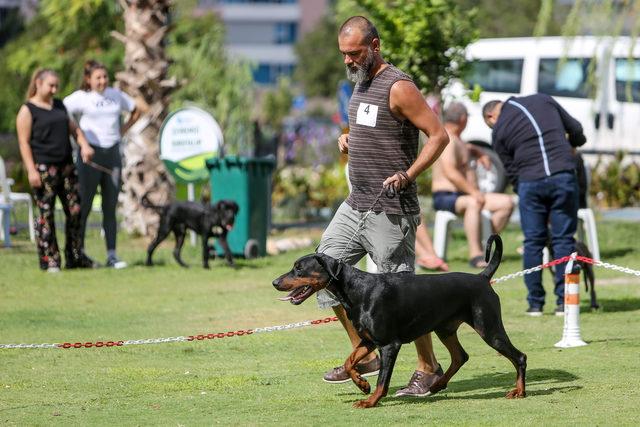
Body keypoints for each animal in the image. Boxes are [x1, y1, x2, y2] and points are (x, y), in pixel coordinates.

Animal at [272, 236, 528, 410]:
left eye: (299, 269)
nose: (275, 282)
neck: (356, 290)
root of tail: (482, 277)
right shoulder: (368, 341)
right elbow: (349, 361)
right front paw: (362, 385)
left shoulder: (388, 345)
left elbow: (382, 380)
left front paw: (370, 400)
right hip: (445, 329)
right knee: (460, 356)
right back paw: (437, 385)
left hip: (489, 328)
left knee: (519, 357)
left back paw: (519, 391)